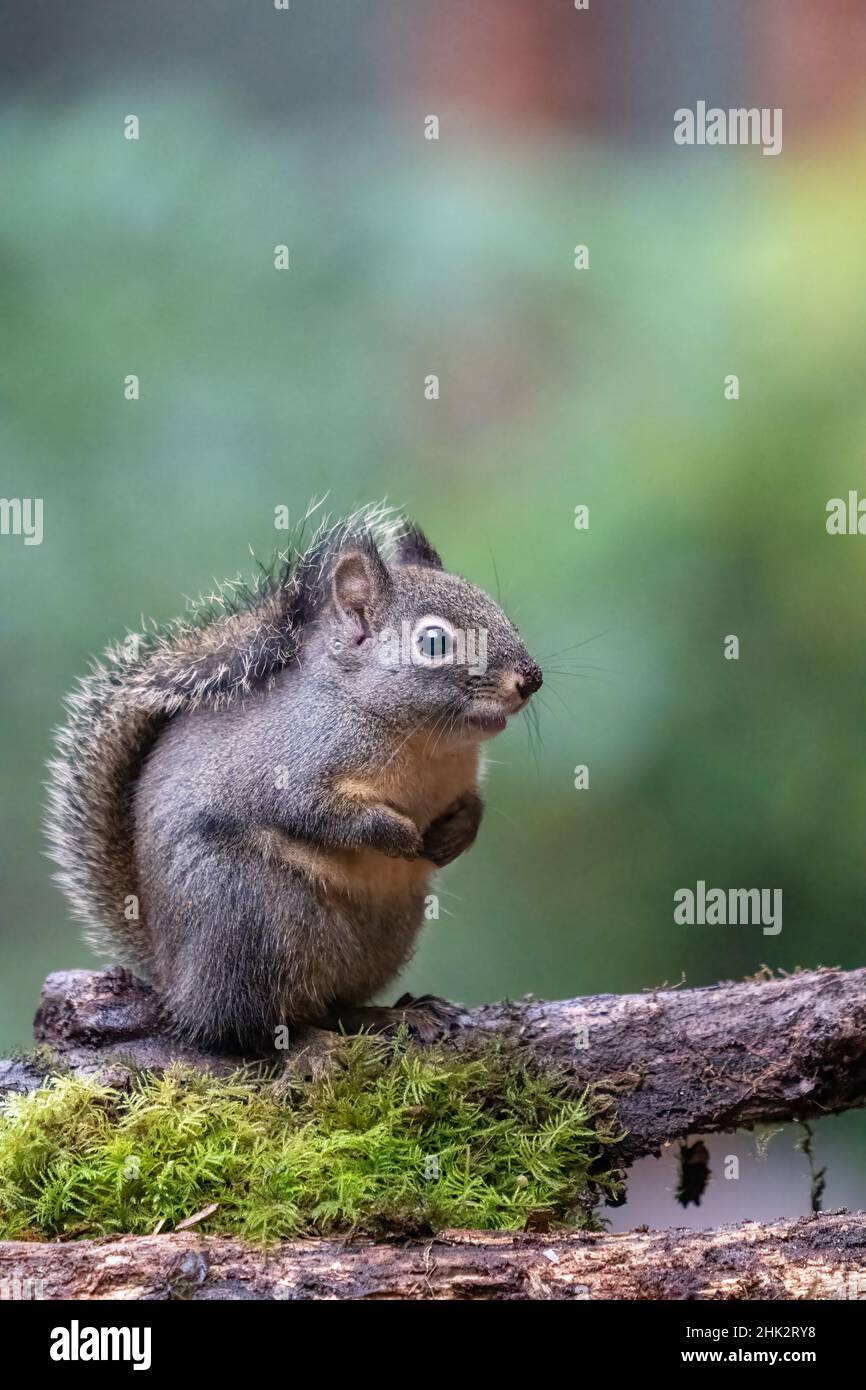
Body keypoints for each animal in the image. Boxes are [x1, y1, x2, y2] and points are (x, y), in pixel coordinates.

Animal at [45, 504, 542, 1052]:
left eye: (506, 617)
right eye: (434, 642)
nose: (531, 678)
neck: (419, 740)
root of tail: (178, 983)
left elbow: (471, 804)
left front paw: (457, 834)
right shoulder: (289, 765)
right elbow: (315, 812)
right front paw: (398, 835)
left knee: (330, 1004)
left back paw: (395, 1013)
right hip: (254, 915)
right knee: (252, 1021)